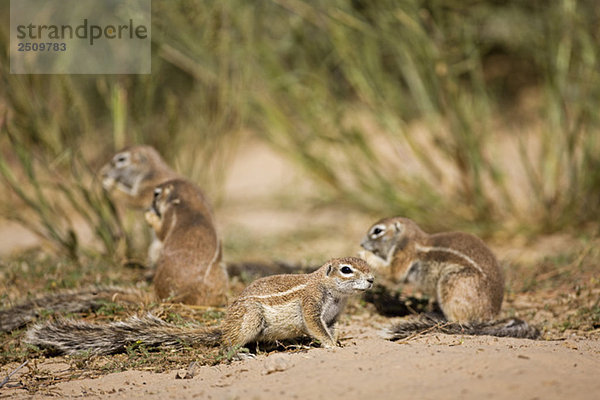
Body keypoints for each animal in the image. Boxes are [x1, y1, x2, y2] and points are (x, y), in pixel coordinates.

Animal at [25, 258, 376, 354]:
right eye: (347, 269)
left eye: (367, 264)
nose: (373, 280)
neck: (331, 291)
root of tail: (222, 327)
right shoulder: (310, 304)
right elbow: (315, 327)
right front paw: (331, 346)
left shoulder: (334, 314)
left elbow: (330, 328)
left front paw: (339, 341)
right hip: (250, 319)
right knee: (226, 346)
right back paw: (241, 352)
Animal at [146, 178, 229, 306]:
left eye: (156, 194)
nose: (149, 206)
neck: (191, 199)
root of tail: (186, 296)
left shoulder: (170, 213)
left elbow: (161, 232)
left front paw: (150, 217)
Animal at [358, 217, 536, 340]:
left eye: (377, 231)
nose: (361, 244)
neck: (408, 238)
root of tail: (491, 316)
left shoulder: (404, 254)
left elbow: (393, 272)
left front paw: (364, 254)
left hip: (451, 283)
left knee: (458, 320)